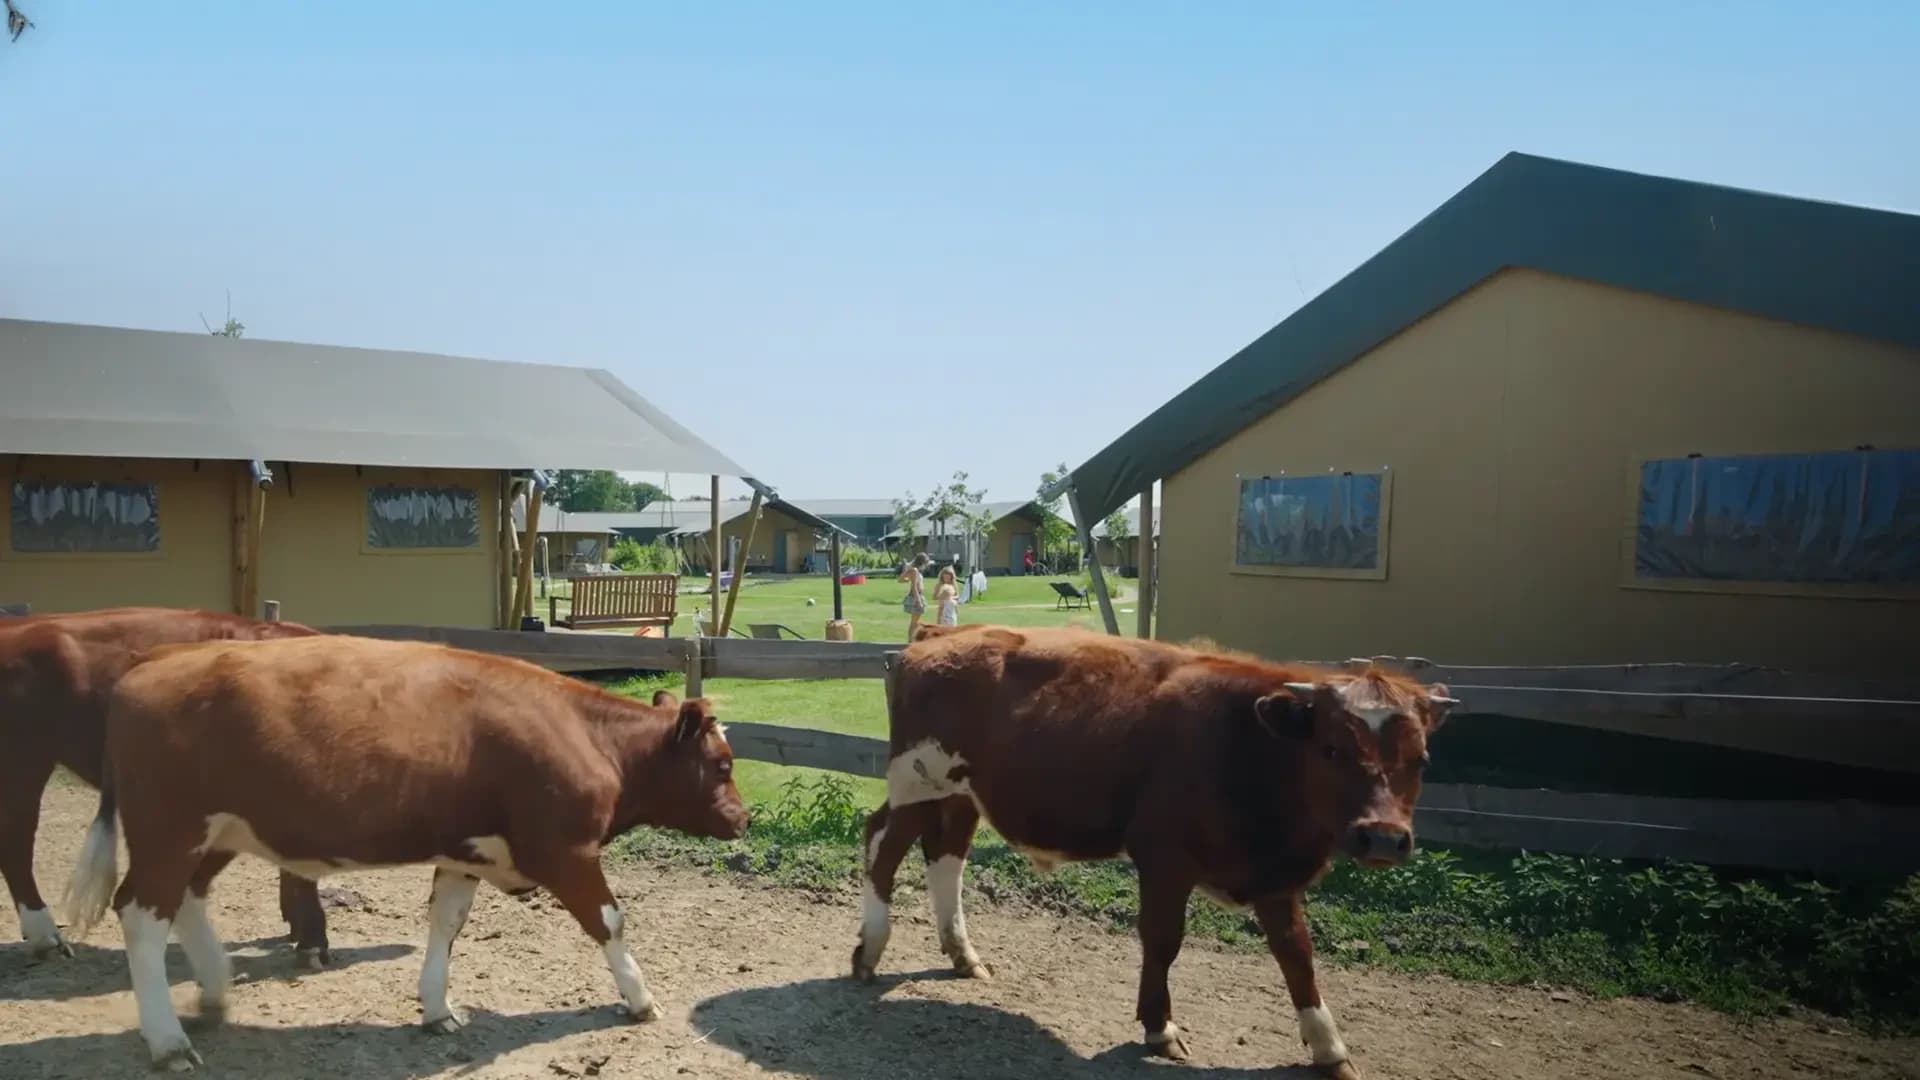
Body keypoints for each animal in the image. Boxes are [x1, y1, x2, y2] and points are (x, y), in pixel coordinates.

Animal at [60, 633, 749, 1072]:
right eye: (721, 764)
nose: (744, 818)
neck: (585, 735)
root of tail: (158, 657)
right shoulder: (565, 852)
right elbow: (609, 921)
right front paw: (639, 999)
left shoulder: (465, 852)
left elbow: (445, 925)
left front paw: (438, 1008)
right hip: (169, 831)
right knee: (141, 914)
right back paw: (168, 1041)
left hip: (216, 834)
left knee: (186, 900)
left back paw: (213, 992)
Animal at [849, 624, 1458, 1080]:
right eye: (1331, 749)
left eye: (1422, 759)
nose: (1383, 837)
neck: (1247, 746)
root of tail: (943, 634)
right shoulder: (1164, 857)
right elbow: (1164, 941)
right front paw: (1159, 1026)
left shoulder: (1273, 875)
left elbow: (1297, 954)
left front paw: (1329, 1047)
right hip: (918, 783)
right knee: (883, 844)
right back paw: (870, 951)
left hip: (960, 796)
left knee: (945, 858)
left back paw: (962, 953)